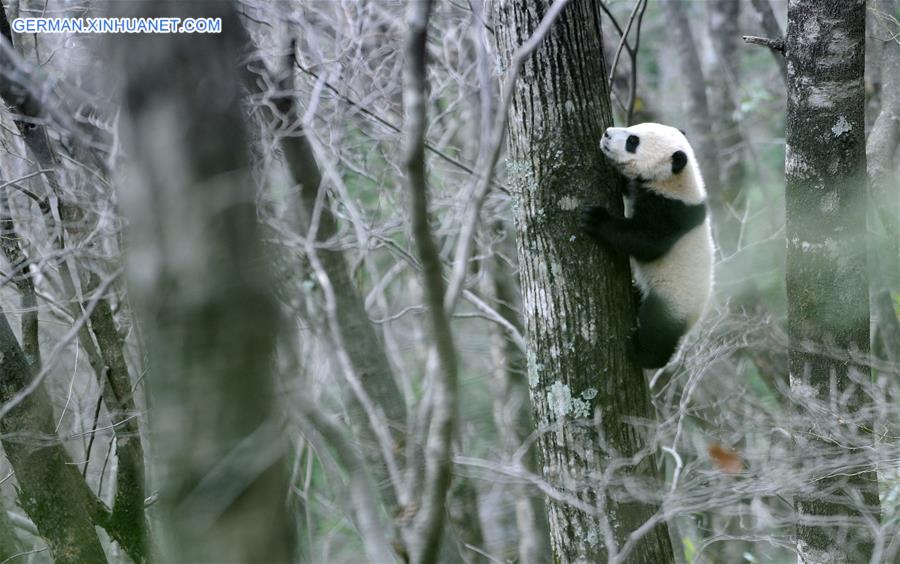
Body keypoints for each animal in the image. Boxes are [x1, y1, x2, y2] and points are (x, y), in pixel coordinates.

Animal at [580, 122, 712, 370]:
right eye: (634, 128)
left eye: (633, 141)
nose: (607, 133)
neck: (676, 180)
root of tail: (692, 322)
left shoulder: (671, 213)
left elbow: (644, 241)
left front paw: (595, 219)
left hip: (672, 300)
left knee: (657, 331)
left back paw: (641, 353)